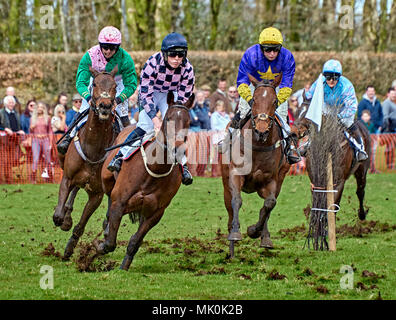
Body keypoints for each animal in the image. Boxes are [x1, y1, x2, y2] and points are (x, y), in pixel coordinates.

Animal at [52, 66, 118, 258]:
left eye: (115, 85)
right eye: (94, 84)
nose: (105, 105)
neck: (93, 148)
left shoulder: (96, 194)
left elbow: (81, 225)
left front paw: (70, 247)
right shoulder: (67, 178)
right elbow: (58, 215)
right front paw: (64, 218)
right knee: (74, 190)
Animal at [96, 92, 195, 270]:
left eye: (188, 122)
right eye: (168, 119)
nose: (178, 149)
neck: (154, 169)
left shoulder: (155, 213)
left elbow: (135, 241)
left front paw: (124, 266)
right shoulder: (119, 202)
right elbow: (110, 242)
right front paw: (101, 245)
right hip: (107, 180)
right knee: (108, 200)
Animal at [223, 75, 290, 258]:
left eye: (275, 101)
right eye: (253, 100)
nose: (261, 131)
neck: (258, 145)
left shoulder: (271, 180)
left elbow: (269, 204)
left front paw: (255, 231)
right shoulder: (235, 174)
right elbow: (237, 200)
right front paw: (236, 233)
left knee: (268, 206)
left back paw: (265, 237)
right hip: (225, 184)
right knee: (230, 210)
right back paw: (231, 249)